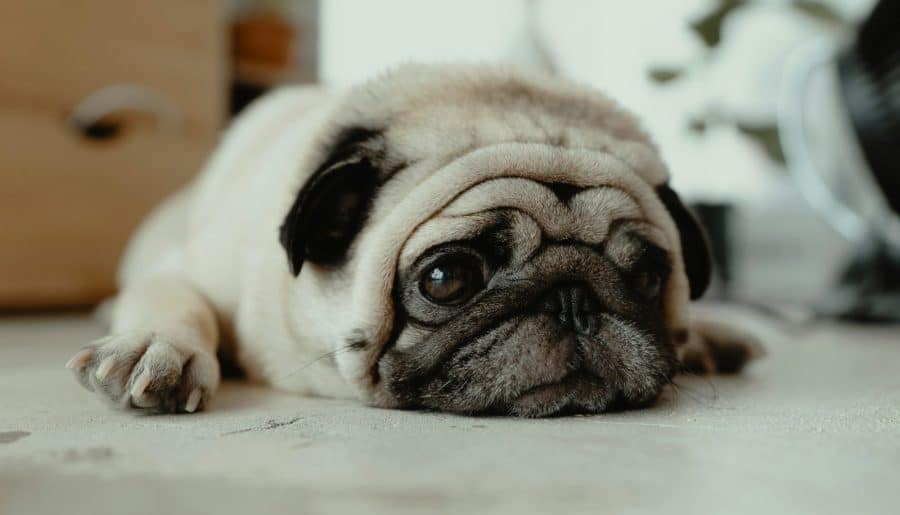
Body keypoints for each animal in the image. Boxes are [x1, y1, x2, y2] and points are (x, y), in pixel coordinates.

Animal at [65, 64, 760, 420]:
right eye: (446, 279)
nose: (573, 301)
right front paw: (160, 347)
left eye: (647, 277)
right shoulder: (186, 270)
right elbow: (176, 300)